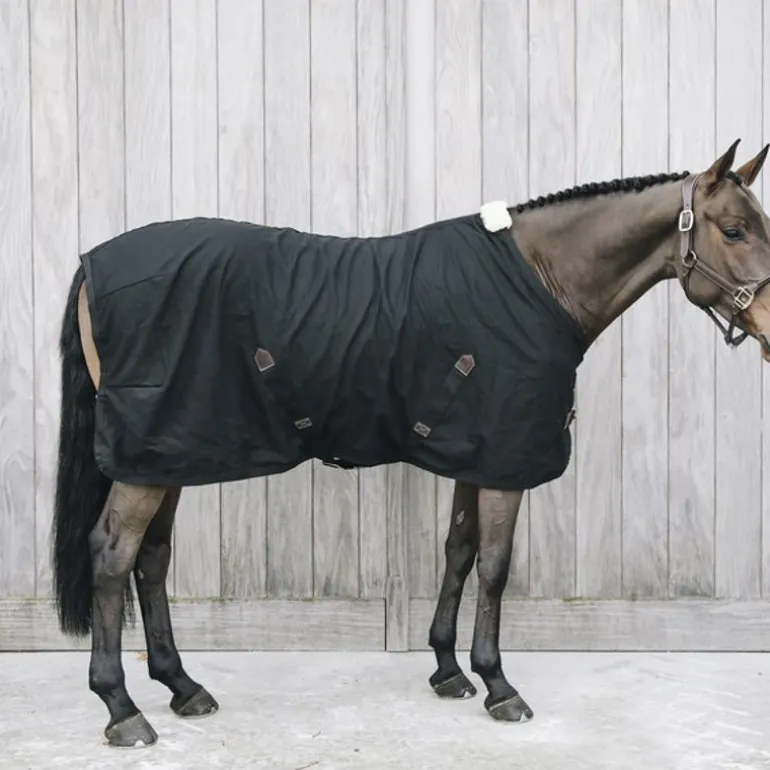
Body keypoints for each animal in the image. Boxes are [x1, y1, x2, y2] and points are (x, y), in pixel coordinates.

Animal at [51, 138, 770, 748]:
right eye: (734, 230)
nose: (769, 323)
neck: (539, 280)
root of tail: (90, 264)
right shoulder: (505, 463)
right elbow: (495, 566)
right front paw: (499, 684)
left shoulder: (476, 453)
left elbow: (458, 551)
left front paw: (449, 671)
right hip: (147, 459)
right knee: (112, 555)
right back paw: (122, 709)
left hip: (167, 452)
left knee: (151, 558)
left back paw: (182, 686)